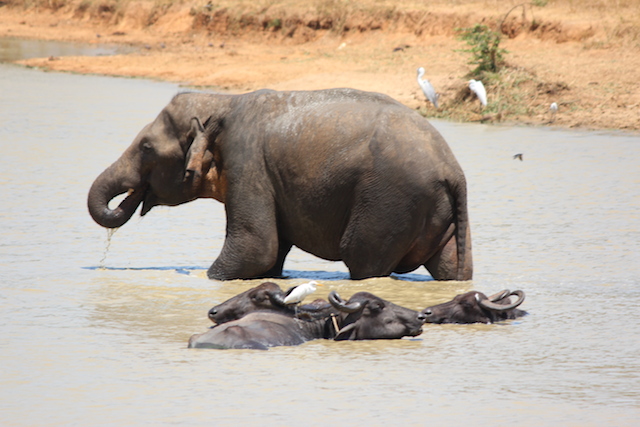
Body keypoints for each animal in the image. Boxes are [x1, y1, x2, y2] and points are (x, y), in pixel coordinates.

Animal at [87, 89, 472, 282]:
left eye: (146, 148)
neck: (222, 99)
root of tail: (453, 170)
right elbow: (271, 255)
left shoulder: (247, 162)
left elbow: (256, 247)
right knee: (452, 266)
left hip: (388, 203)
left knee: (362, 258)